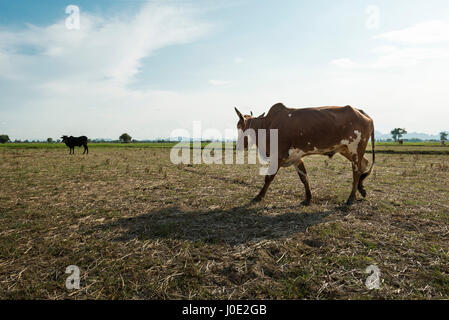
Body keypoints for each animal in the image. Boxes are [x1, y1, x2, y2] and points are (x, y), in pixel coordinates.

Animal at [234, 104, 374, 206]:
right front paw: (308, 198)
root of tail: (360, 112)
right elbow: (304, 177)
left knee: (356, 171)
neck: (267, 125)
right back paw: (361, 189)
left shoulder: (278, 157)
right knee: (364, 163)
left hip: (355, 149)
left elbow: (268, 178)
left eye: (238, 126)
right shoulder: (296, 158)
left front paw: (259, 196)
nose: (238, 145)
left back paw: (351, 198)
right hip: (346, 149)